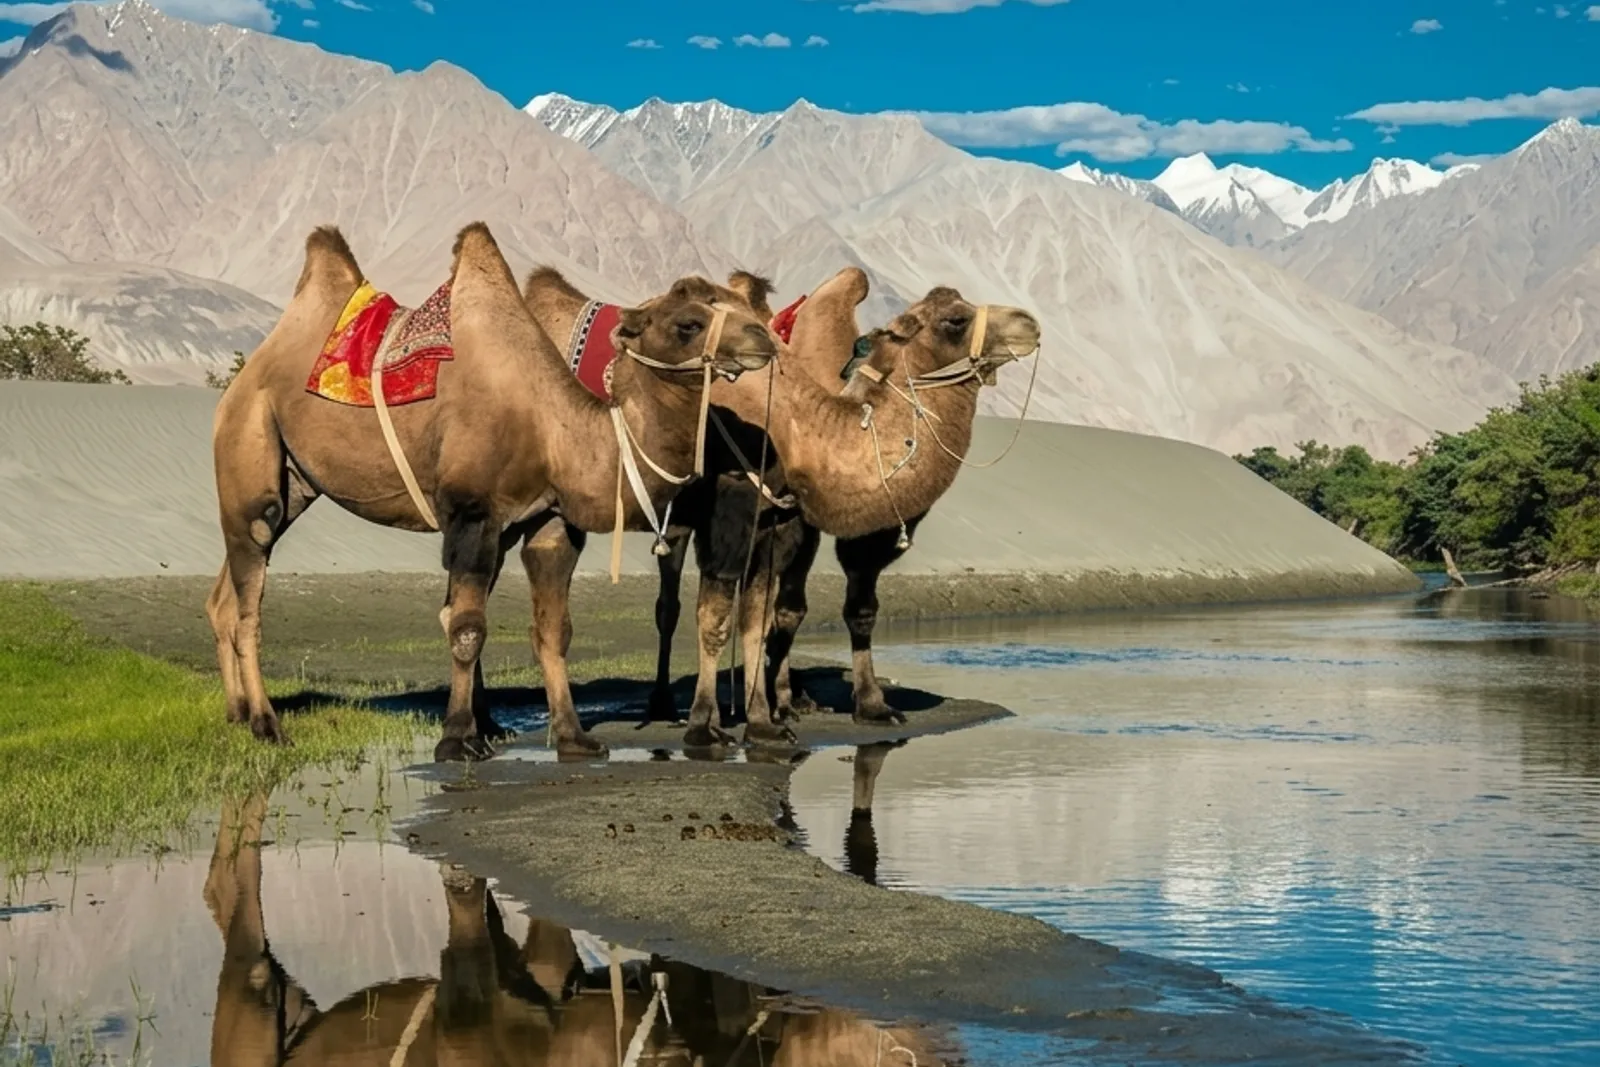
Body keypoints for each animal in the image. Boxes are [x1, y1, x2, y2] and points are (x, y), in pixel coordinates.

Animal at [207, 223, 776, 762]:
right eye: (689, 324)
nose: (763, 340)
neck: (552, 427)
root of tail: (243, 379)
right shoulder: (472, 512)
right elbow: (466, 628)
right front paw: (458, 739)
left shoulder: (547, 520)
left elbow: (554, 630)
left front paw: (573, 738)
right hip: (251, 437)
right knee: (251, 587)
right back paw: (267, 725)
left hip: (297, 482)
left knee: (228, 592)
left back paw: (237, 714)